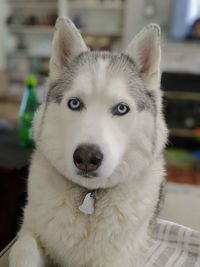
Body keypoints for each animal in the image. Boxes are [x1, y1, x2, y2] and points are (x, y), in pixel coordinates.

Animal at [10, 17, 168, 267]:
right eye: (74, 103)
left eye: (121, 109)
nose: (86, 157)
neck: (89, 196)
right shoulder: (30, 230)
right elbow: (23, 249)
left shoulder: (117, 257)